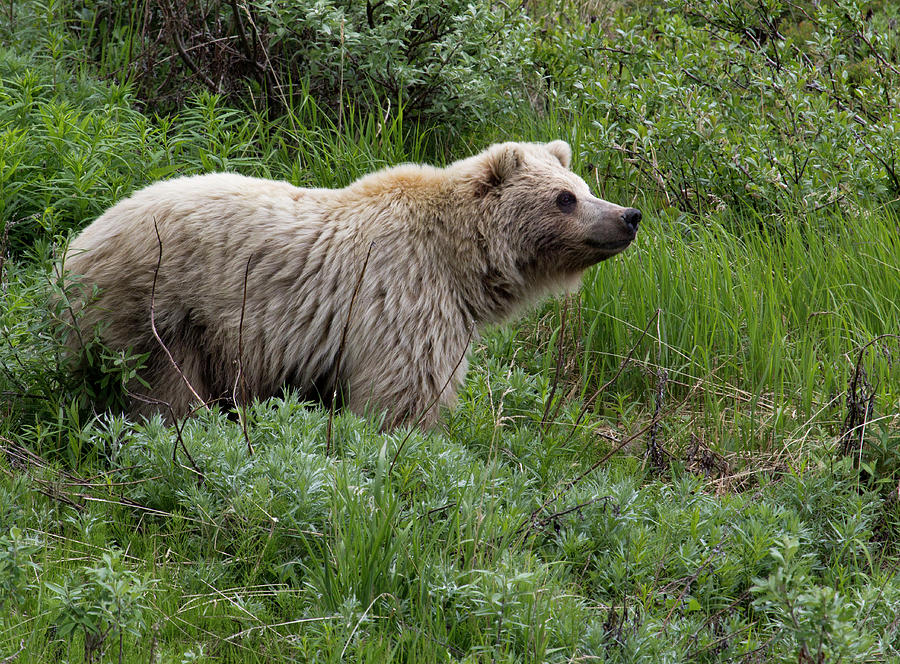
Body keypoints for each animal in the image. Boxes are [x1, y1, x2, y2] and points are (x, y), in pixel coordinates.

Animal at [63, 142, 640, 428]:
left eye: (585, 186)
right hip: (162, 310)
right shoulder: (405, 295)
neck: (463, 263)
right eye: (564, 198)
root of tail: (78, 244)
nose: (628, 216)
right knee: (164, 390)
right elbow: (402, 394)